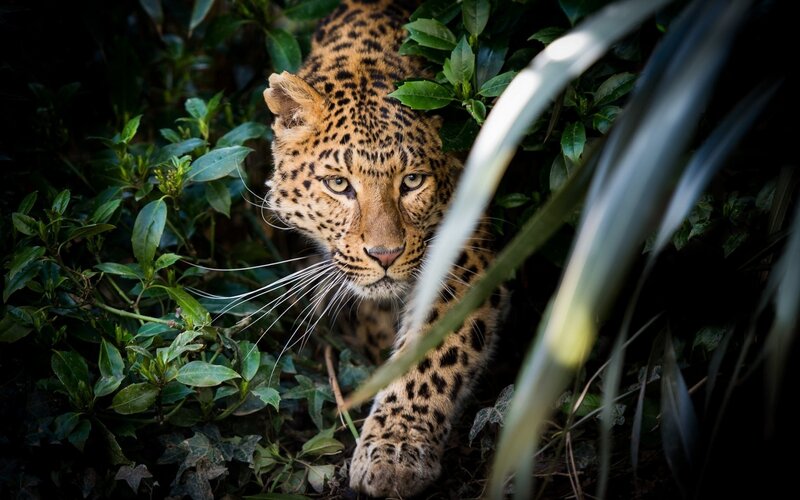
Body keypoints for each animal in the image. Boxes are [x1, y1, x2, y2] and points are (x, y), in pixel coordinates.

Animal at [262, 0, 507, 496]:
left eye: (412, 181)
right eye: (339, 185)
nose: (385, 256)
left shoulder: (465, 248)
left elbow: (434, 351)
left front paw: (394, 453)